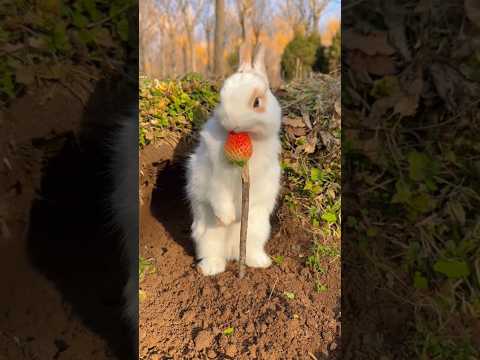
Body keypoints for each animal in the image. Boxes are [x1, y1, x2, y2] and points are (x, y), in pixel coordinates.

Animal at [184, 44, 282, 276]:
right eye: (221, 98)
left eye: (257, 102)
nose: (233, 123)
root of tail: (230, 251)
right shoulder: (214, 174)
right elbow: (217, 194)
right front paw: (228, 218)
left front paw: (237, 217)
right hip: (206, 236)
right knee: (212, 252)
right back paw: (211, 269)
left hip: (257, 231)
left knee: (250, 249)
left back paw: (259, 262)